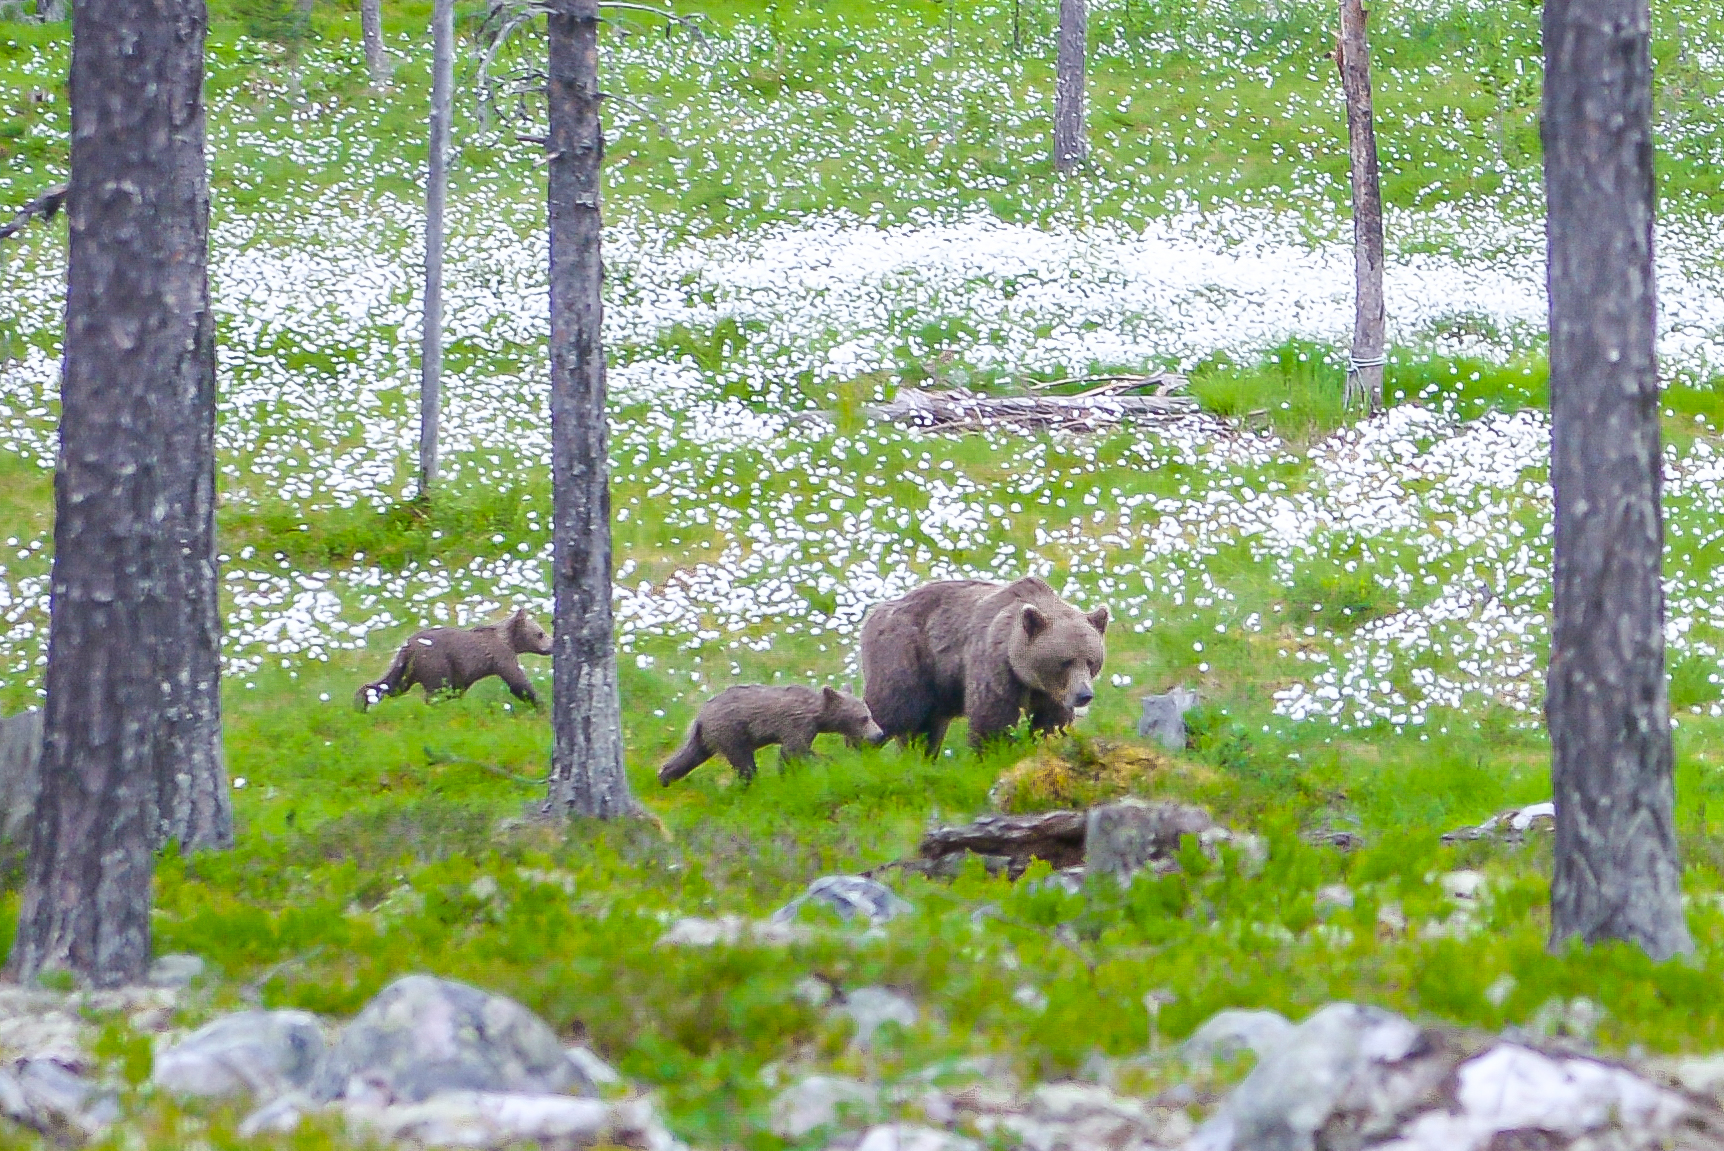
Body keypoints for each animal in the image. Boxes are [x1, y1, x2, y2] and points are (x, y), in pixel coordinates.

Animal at [355, 608, 553, 711]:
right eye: (540, 633)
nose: (551, 645)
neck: (509, 640)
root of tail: (409, 645)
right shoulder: (501, 656)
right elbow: (517, 681)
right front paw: (540, 703)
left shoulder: (461, 669)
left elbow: (458, 688)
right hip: (434, 662)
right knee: (435, 691)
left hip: (407, 667)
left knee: (391, 685)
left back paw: (362, 701)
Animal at [658, 685, 885, 785]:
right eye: (864, 717)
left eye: (869, 714)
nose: (879, 734)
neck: (818, 715)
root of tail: (700, 717)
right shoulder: (798, 723)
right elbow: (794, 750)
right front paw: (827, 761)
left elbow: (791, 753)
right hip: (731, 730)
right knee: (743, 761)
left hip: (704, 738)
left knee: (688, 756)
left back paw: (664, 777)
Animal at [860, 576, 1108, 757]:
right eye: (1065, 661)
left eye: (1091, 661)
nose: (1084, 694)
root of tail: (876, 611)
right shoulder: (995, 666)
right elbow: (992, 718)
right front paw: (992, 753)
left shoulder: (1052, 694)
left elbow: (1052, 722)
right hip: (905, 654)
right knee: (892, 708)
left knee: (925, 728)